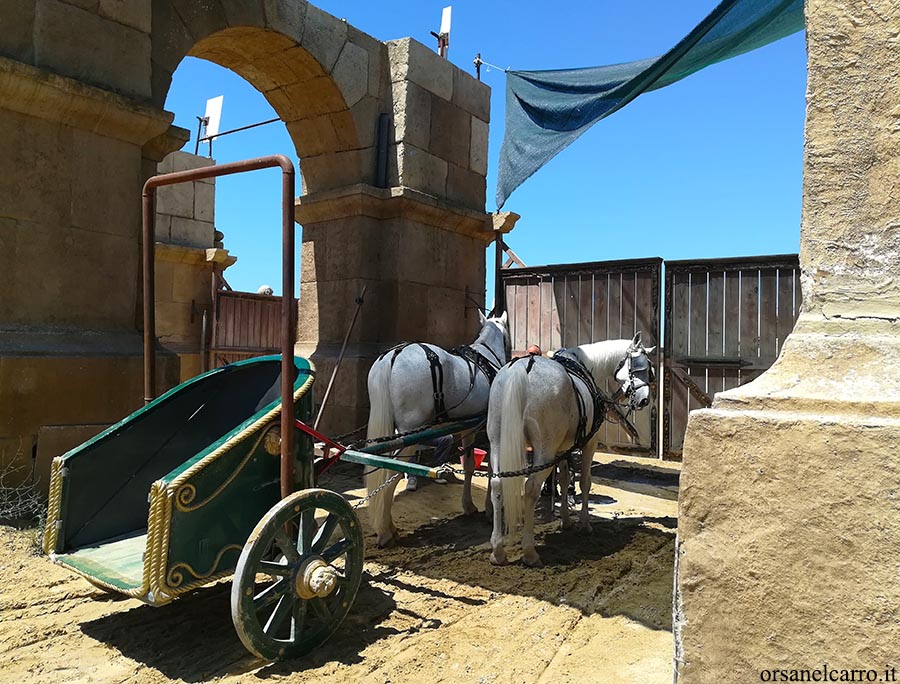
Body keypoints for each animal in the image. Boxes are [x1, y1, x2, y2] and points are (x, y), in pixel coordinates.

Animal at [364, 312, 506, 548]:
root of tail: (394, 355)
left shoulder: (466, 428)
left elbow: (468, 465)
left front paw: (468, 505)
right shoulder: (485, 427)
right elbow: (490, 470)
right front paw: (488, 510)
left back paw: (389, 526)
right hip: (410, 435)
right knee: (392, 472)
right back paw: (385, 532)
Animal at [488, 332, 652, 568]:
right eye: (641, 365)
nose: (644, 400)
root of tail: (522, 369)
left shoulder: (563, 449)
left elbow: (565, 479)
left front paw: (565, 519)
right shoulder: (589, 444)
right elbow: (584, 482)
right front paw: (584, 523)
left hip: (497, 443)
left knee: (497, 485)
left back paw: (498, 550)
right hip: (543, 452)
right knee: (531, 489)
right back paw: (529, 552)